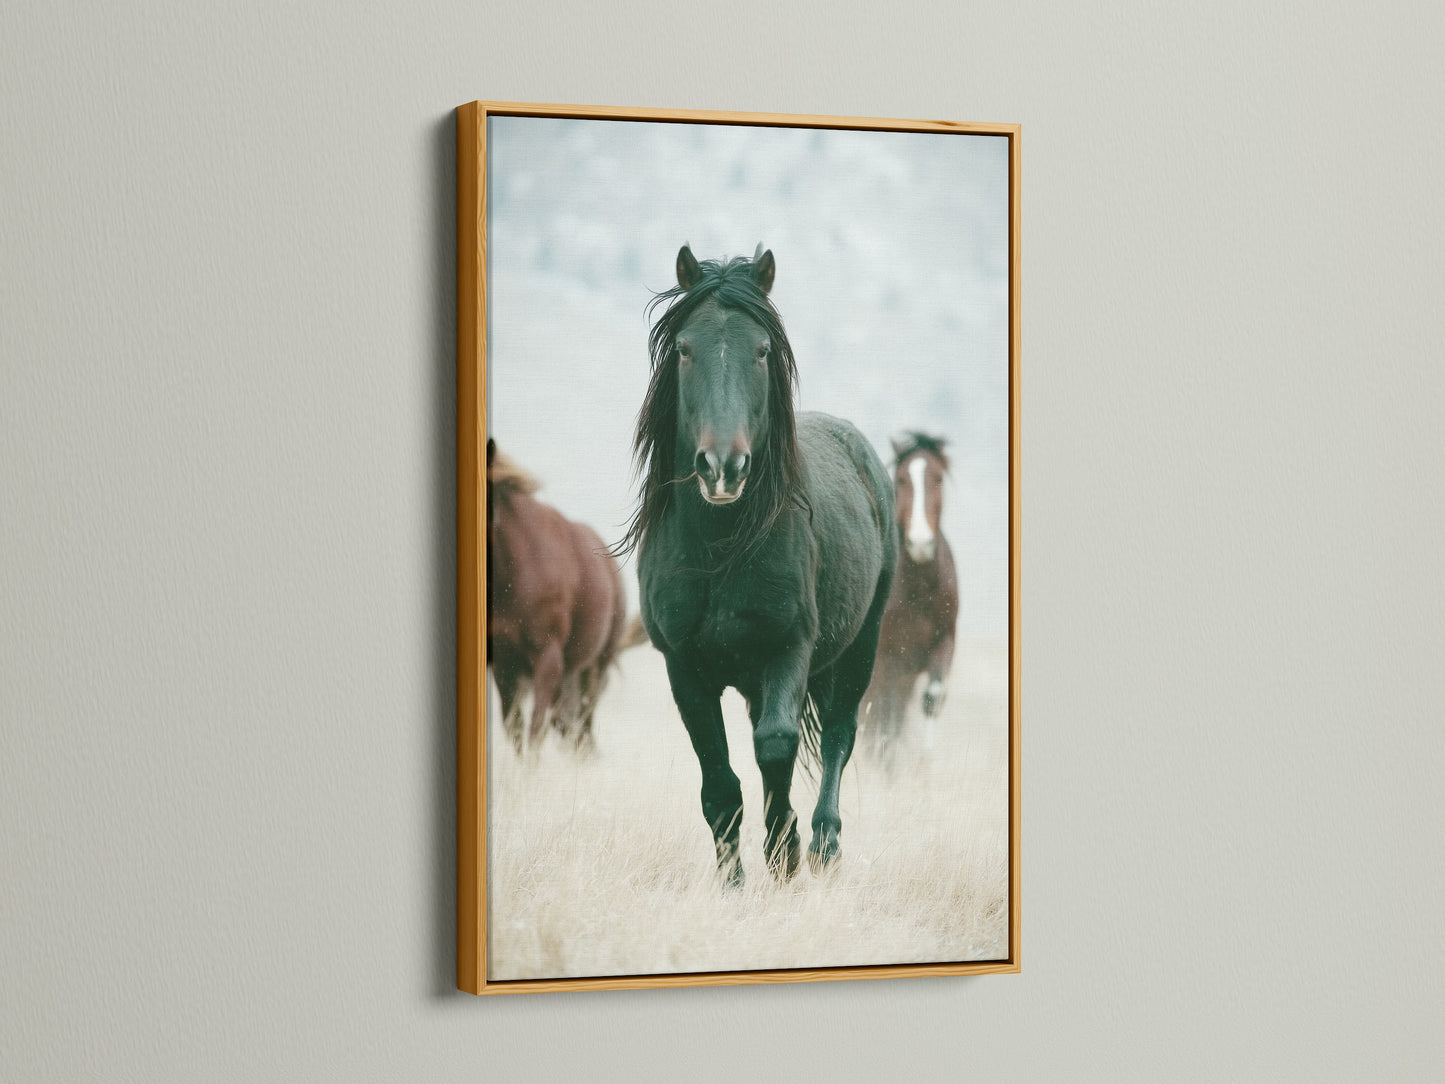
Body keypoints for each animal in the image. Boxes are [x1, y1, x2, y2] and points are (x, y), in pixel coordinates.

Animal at [487, 438, 626, 755]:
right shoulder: (504, 664)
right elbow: (514, 728)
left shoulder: (548, 658)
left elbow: (535, 730)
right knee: (567, 725)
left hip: (594, 668)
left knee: (581, 725)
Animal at [618, 244, 897, 886]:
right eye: (685, 348)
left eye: (763, 350)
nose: (724, 467)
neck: (720, 554)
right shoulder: (684, 669)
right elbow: (719, 780)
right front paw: (734, 882)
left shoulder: (788, 648)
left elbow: (776, 745)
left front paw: (785, 853)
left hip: (861, 644)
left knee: (839, 736)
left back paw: (822, 844)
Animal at [863, 432, 959, 763]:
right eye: (902, 479)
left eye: (938, 478)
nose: (920, 543)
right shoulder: (886, 661)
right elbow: (883, 720)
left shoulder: (944, 641)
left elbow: (931, 699)